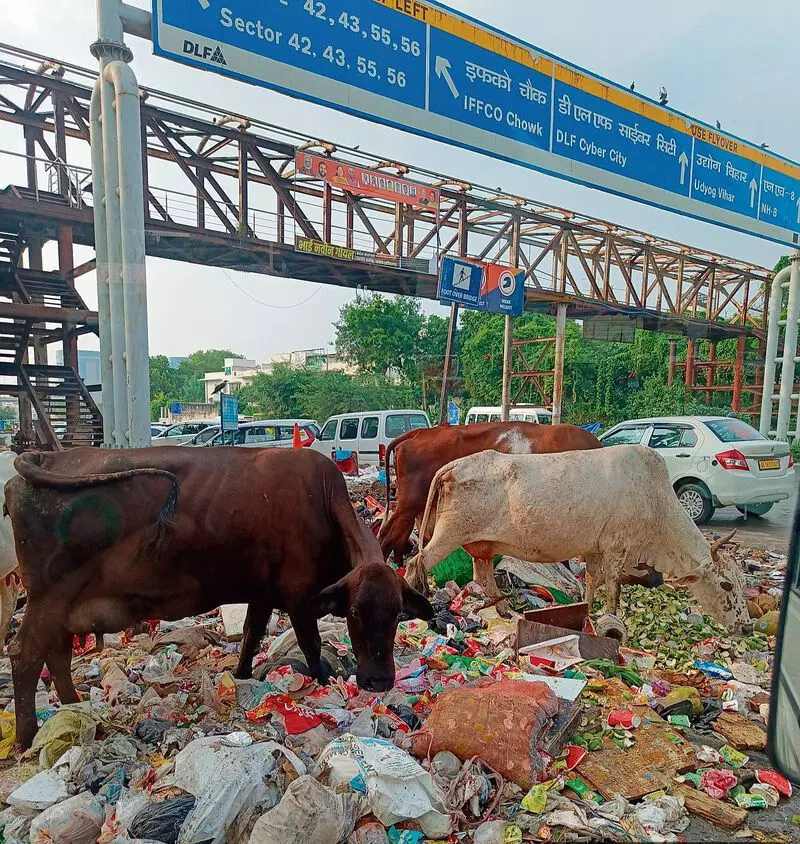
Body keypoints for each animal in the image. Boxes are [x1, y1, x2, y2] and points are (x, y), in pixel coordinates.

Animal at [4, 448, 432, 744]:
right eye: (355, 612)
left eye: (398, 613)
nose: (378, 680)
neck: (324, 502)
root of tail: (49, 455)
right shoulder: (298, 598)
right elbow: (310, 647)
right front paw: (325, 681)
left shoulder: (263, 594)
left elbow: (250, 637)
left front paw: (240, 677)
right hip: (49, 598)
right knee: (25, 654)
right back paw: (27, 736)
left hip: (61, 607)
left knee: (56, 655)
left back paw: (73, 706)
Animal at [410, 446, 752, 628]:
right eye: (726, 584)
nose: (747, 628)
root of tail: (454, 465)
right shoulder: (617, 547)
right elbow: (613, 588)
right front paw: (612, 621)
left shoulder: (595, 549)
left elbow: (591, 582)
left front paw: (587, 612)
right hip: (450, 532)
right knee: (417, 562)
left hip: (480, 544)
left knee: (482, 576)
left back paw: (506, 611)